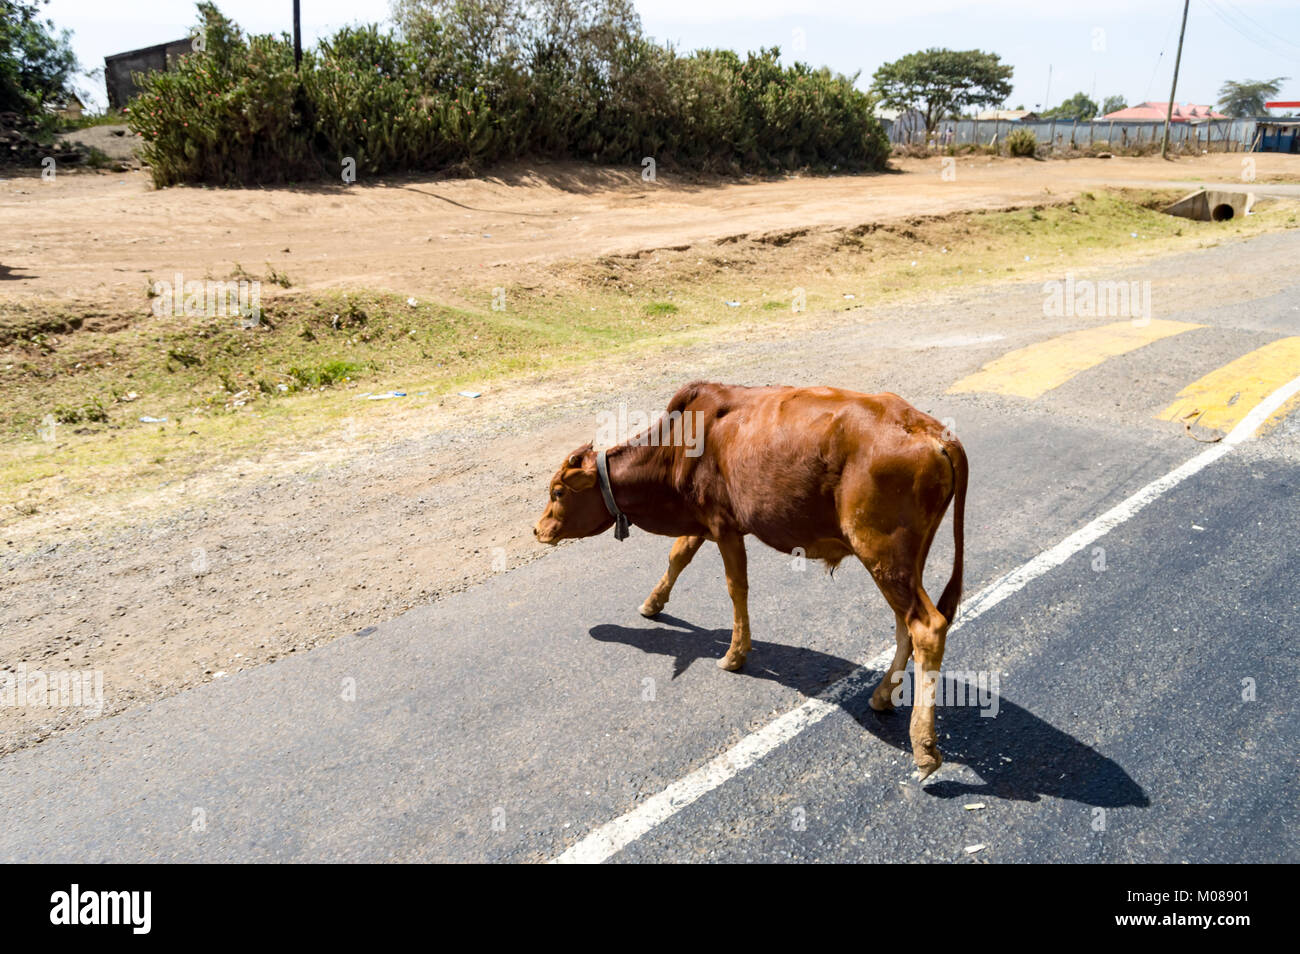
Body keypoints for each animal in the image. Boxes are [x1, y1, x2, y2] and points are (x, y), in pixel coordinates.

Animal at [533, 382, 972, 779]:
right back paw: (883, 696)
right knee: (905, 626)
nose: (537, 530)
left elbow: (735, 588)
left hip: (880, 552)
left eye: (557, 492)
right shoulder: (701, 521)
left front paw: (734, 653)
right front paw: (653, 603)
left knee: (927, 627)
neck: (680, 445)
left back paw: (924, 747)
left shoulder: (724, 524)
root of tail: (931, 429)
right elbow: (678, 555)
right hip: (902, 560)